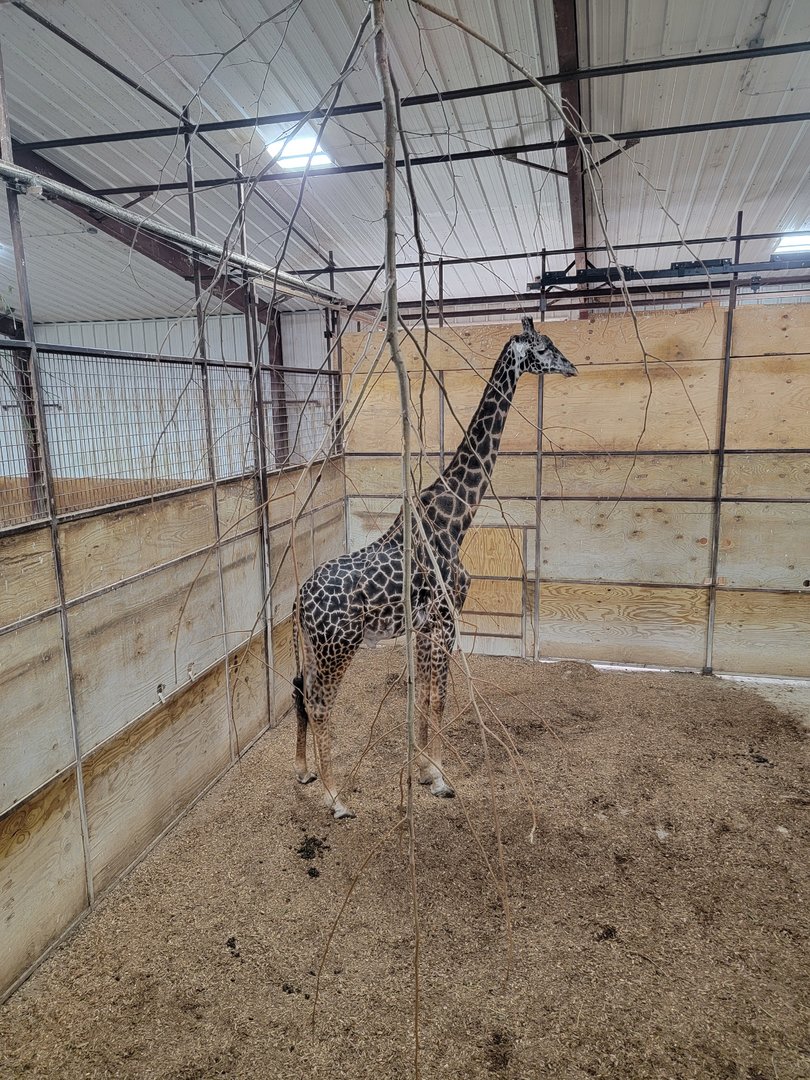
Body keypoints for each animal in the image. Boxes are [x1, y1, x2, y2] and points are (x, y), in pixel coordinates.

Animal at [292, 316, 577, 818]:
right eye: (544, 346)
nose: (573, 367)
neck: (455, 516)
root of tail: (298, 601)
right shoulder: (446, 617)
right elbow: (440, 697)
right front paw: (441, 777)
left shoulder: (426, 625)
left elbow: (425, 693)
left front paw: (425, 770)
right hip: (338, 648)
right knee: (322, 704)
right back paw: (335, 798)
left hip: (314, 648)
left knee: (303, 696)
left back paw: (305, 773)